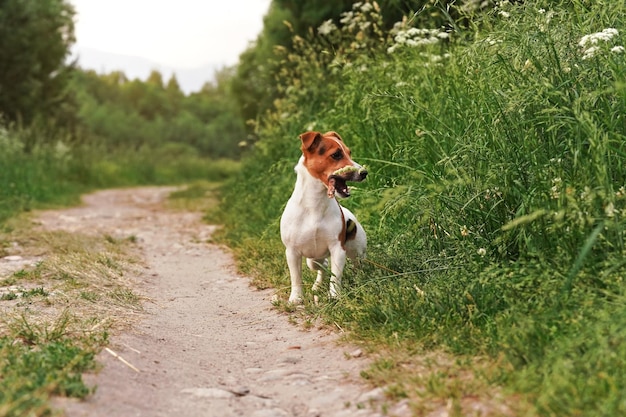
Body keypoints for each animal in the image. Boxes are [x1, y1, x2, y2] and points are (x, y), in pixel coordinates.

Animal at [278, 130, 366, 302]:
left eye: (349, 152)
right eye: (336, 155)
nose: (364, 172)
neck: (314, 205)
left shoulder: (338, 249)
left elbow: (335, 277)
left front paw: (334, 296)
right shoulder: (292, 252)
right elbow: (296, 278)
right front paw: (296, 299)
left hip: (357, 250)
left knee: (355, 264)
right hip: (312, 259)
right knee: (322, 266)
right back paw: (317, 286)